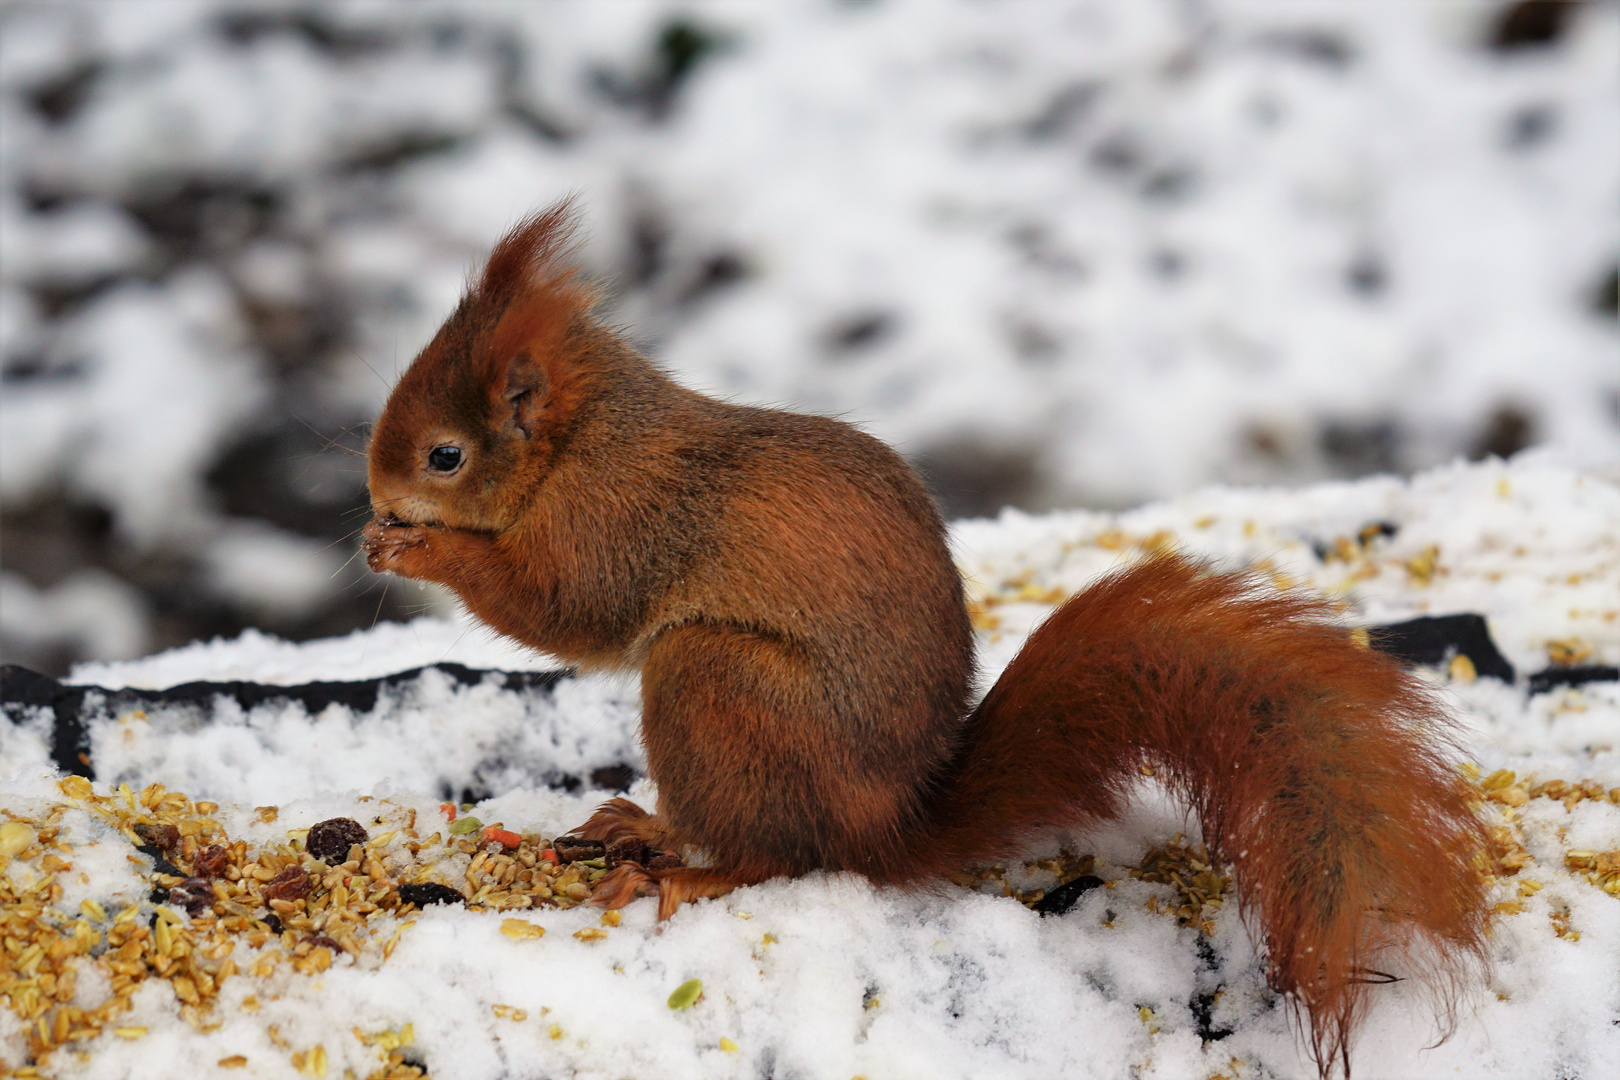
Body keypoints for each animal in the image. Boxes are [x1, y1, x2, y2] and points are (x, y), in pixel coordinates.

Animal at [367, 202, 1490, 1075]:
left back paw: (683, 865)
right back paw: (642, 826)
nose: (374, 503)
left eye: (444, 454)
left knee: (777, 858)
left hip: (715, 684)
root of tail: (887, 828)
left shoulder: (617, 521)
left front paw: (423, 550)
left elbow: (569, 610)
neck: (586, 439)